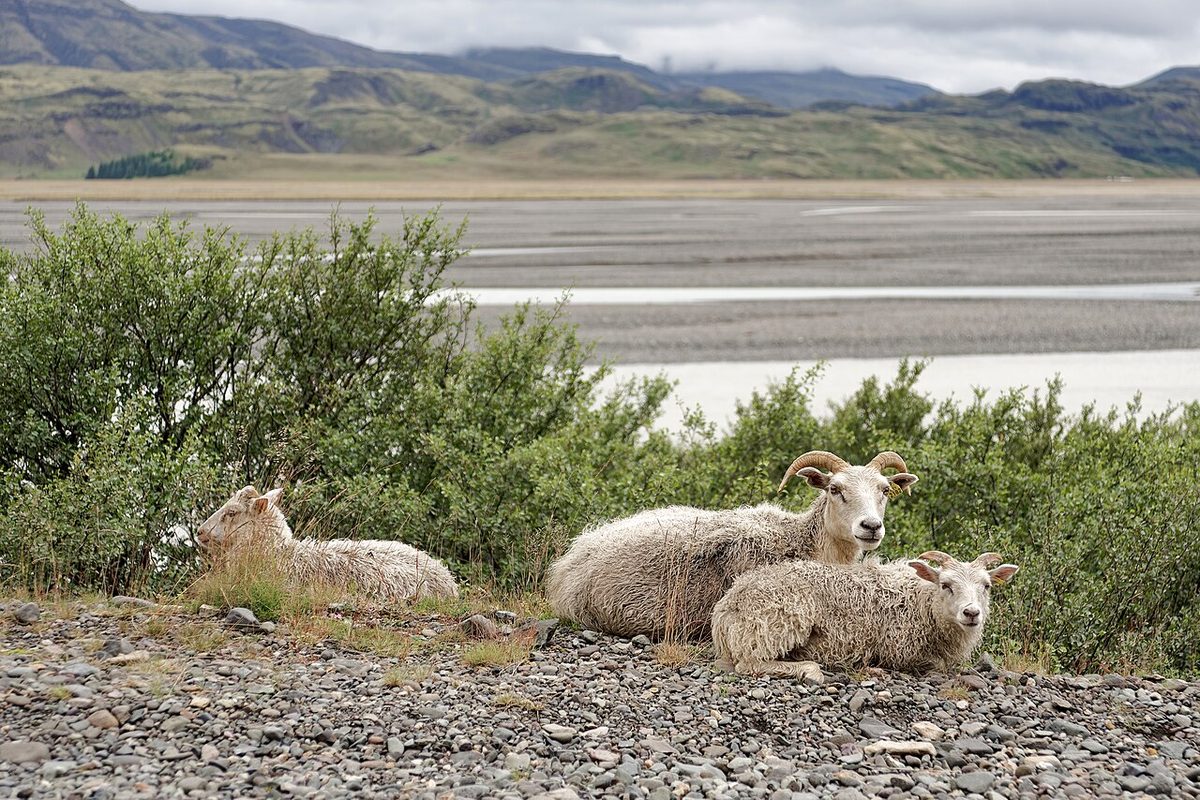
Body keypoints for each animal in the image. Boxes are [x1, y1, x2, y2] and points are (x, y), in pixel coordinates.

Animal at [711, 550, 1019, 683]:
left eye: (986, 586)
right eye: (946, 585)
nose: (971, 613)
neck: (922, 601)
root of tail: (726, 605)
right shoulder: (901, 650)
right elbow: (937, 665)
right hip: (774, 623)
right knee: (750, 663)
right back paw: (810, 669)